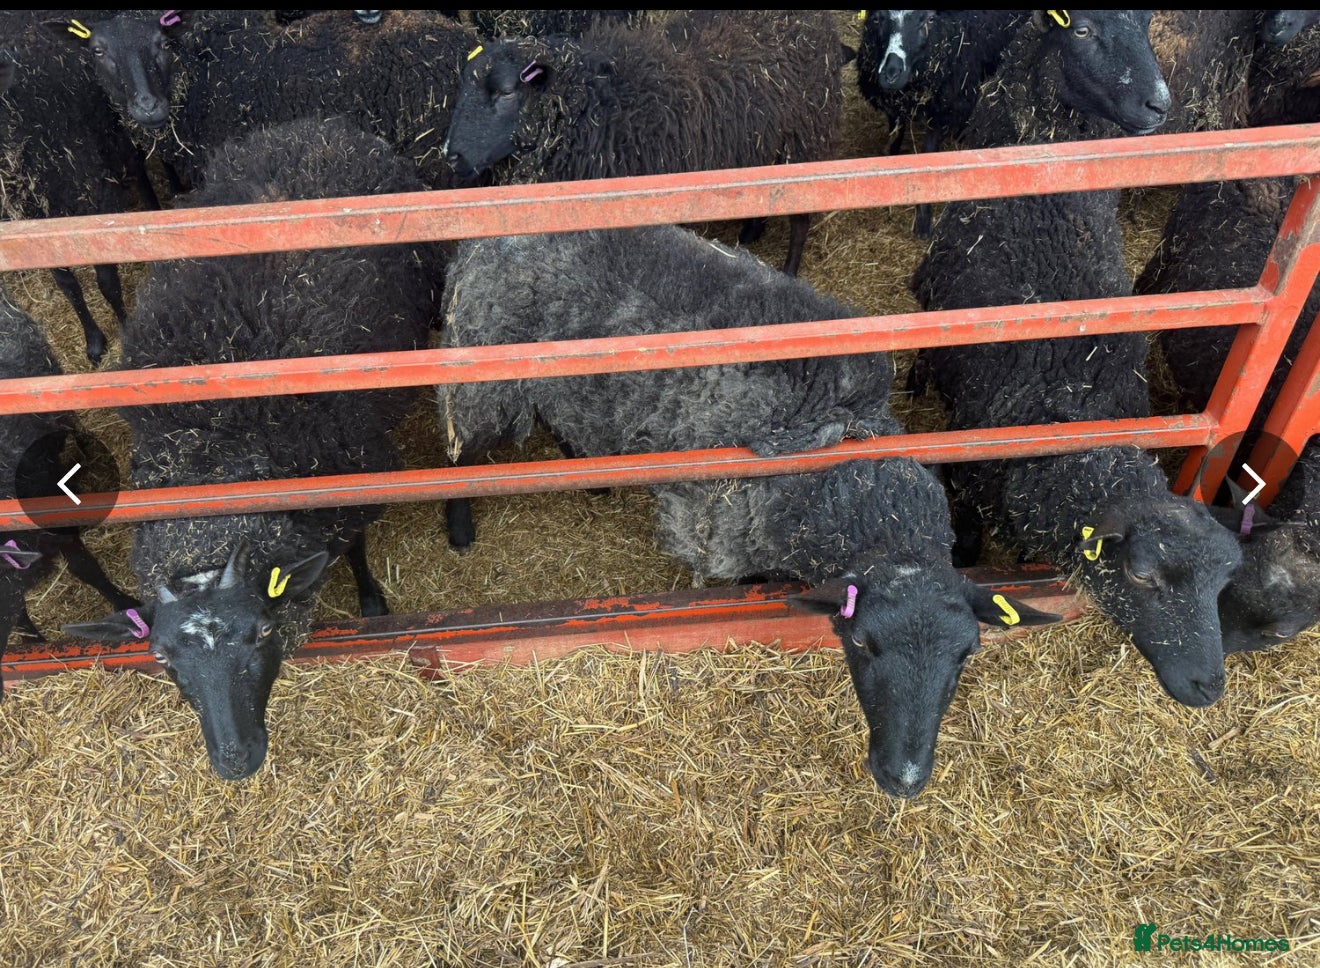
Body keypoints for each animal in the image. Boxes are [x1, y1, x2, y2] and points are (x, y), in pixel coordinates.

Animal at [1, 14, 149, 364]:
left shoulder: (96, 193)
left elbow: (106, 280)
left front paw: (124, 327)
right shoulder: (35, 216)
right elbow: (67, 283)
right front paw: (94, 341)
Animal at [63, 117, 440, 780]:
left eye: (264, 632)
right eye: (161, 658)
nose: (234, 759)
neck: (217, 455)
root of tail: (313, 127)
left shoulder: (352, 473)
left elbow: (355, 546)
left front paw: (371, 601)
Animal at [438, 224, 1055, 798]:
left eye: (967, 654)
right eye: (861, 643)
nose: (903, 779)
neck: (829, 451)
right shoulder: (718, 527)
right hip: (481, 382)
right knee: (459, 454)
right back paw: (460, 526)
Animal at [441, 10, 846, 277]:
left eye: (507, 92)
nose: (452, 156)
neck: (599, 107)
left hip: (805, 142)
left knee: (800, 219)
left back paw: (789, 269)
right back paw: (750, 231)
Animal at [856, 10, 1028, 236]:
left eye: (929, 19)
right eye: (876, 18)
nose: (891, 74)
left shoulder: (943, 109)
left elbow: (928, 156)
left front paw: (923, 219)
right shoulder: (894, 108)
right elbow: (894, 143)